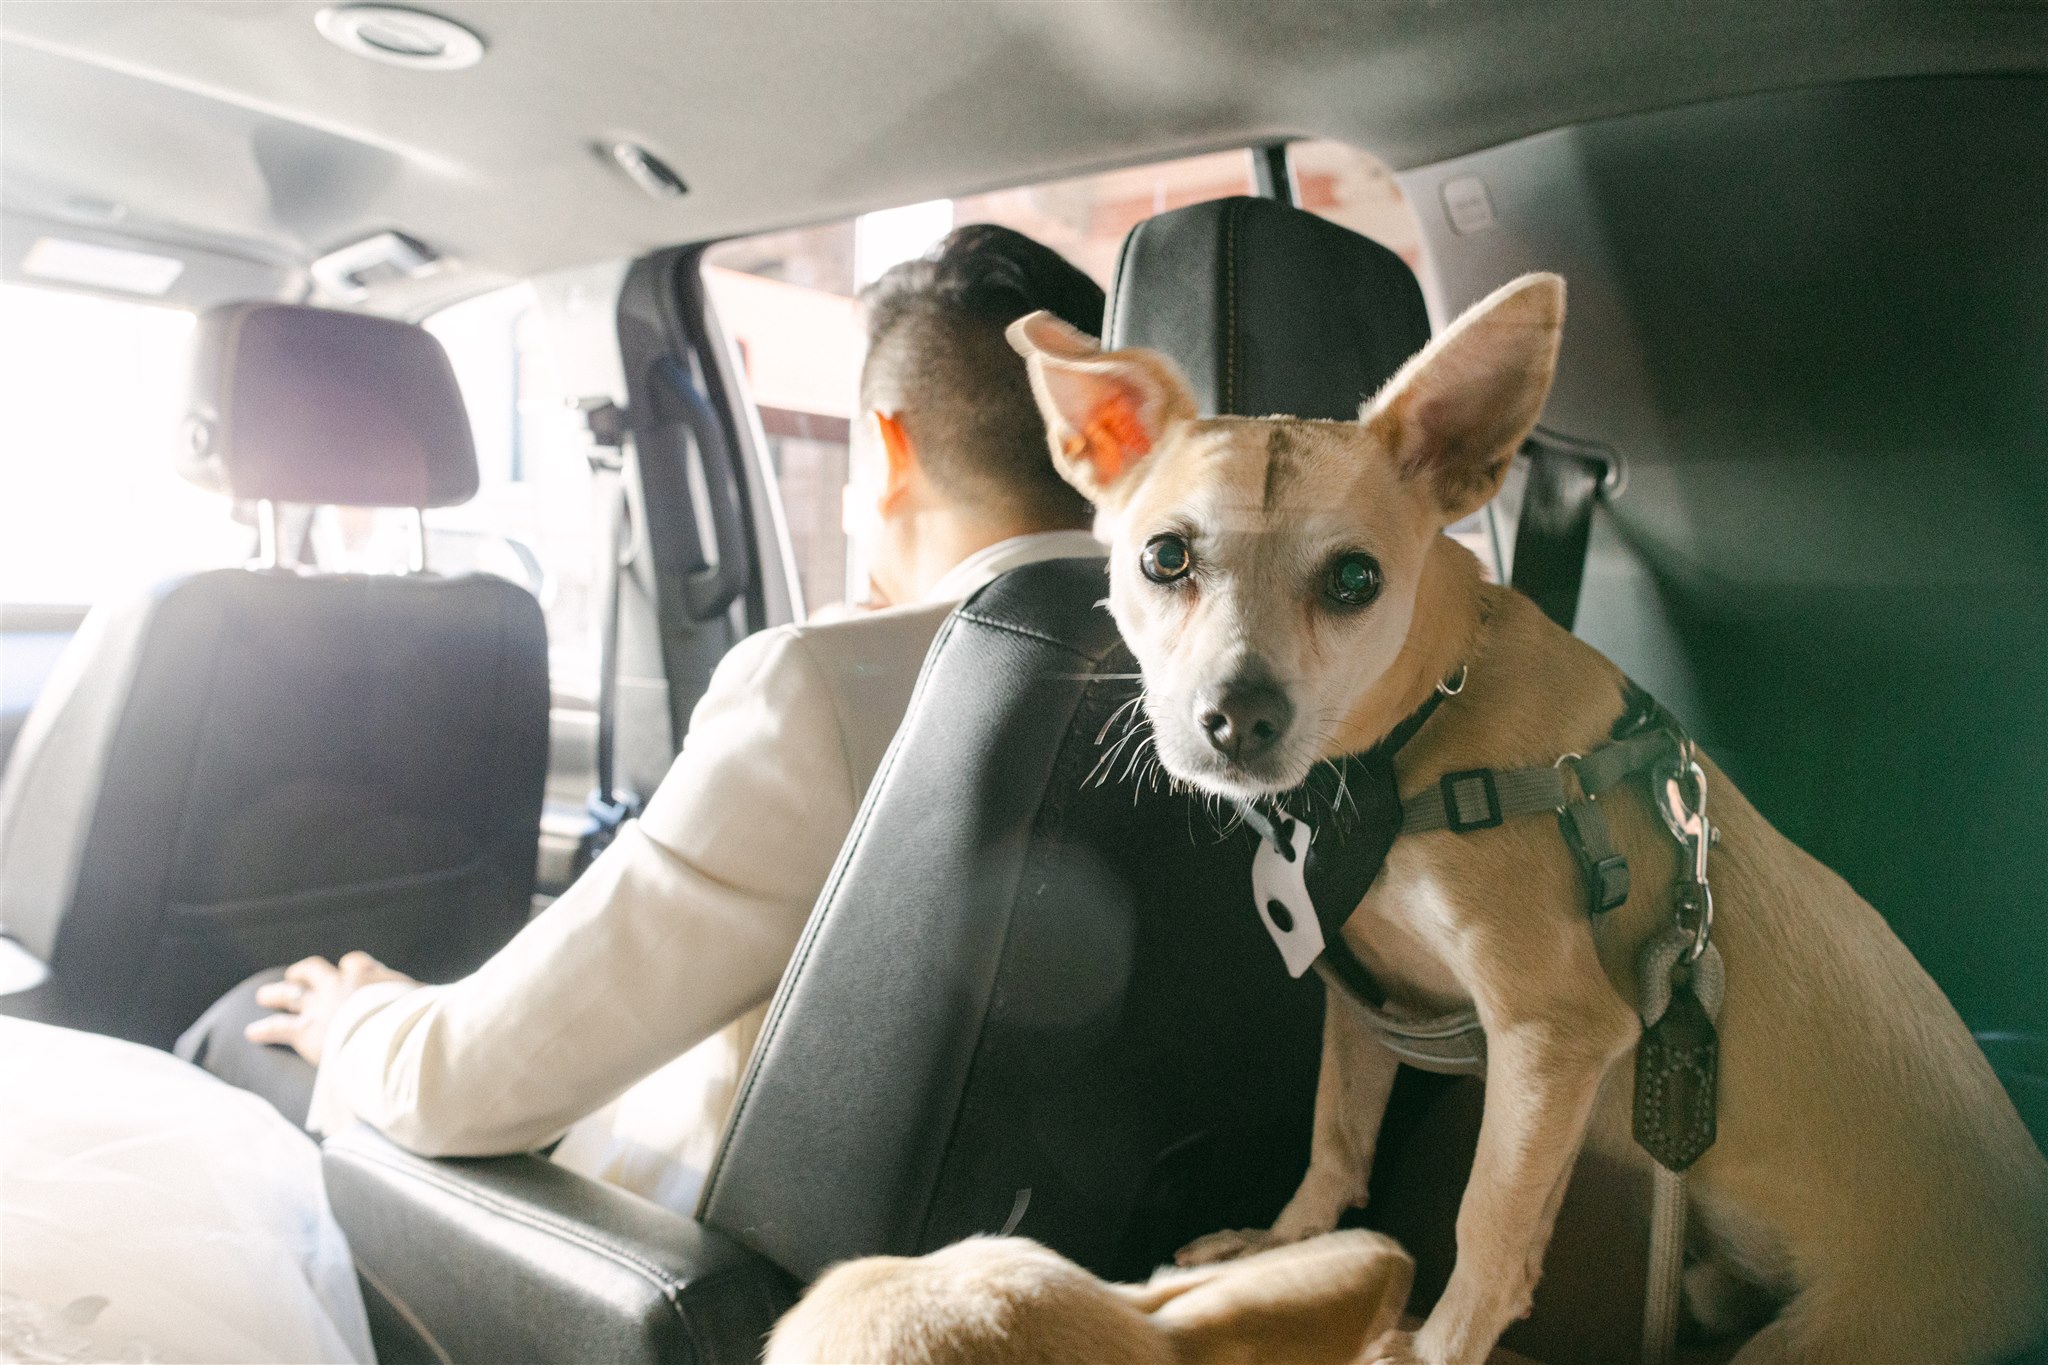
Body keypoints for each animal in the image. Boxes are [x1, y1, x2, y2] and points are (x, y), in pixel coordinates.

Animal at [1007, 278, 2048, 1365]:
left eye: (1355, 580)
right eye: (1164, 557)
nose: (1237, 718)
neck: (1410, 738)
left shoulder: (1551, 1035)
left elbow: (1490, 1222)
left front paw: (1433, 1347)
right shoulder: (1375, 1003)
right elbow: (1337, 1139)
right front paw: (1283, 1249)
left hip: (1819, 1337)